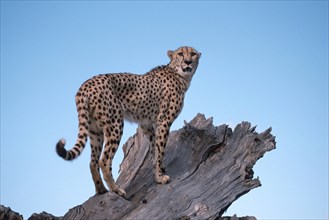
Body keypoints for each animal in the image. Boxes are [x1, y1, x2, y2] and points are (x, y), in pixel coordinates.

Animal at [56, 46, 200, 196]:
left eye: (193, 54)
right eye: (180, 54)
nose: (188, 62)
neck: (179, 74)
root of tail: (85, 84)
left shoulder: (146, 124)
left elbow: (154, 149)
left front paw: (158, 171)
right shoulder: (163, 121)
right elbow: (160, 150)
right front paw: (160, 178)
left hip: (95, 131)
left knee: (92, 162)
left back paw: (101, 189)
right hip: (115, 124)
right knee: (104, 160)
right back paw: (116, 189)